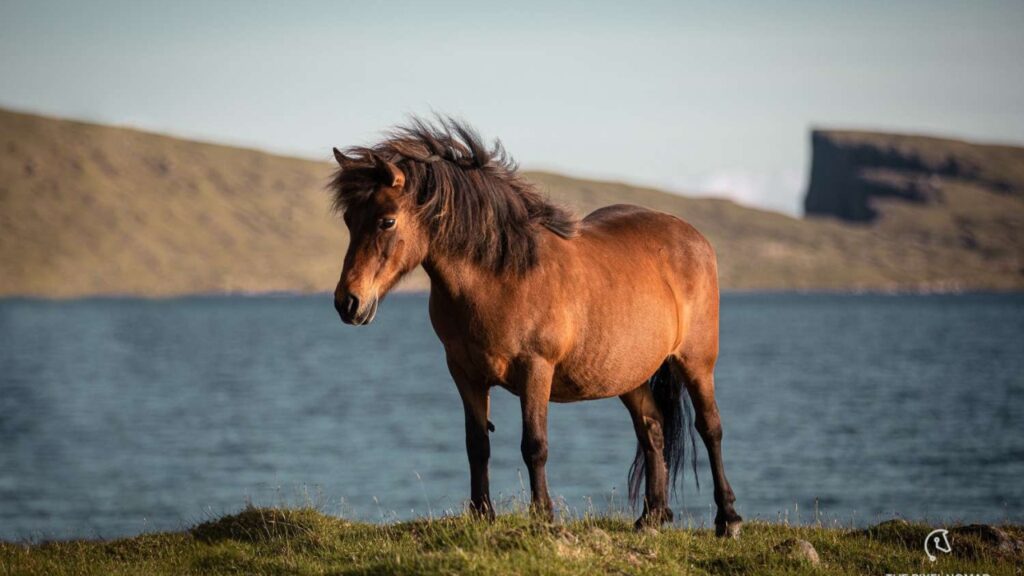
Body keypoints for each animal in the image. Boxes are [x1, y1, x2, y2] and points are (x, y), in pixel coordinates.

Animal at [328, 118, 742, 536]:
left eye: (387, 220)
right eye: (349, 220)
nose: (348, 302)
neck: (500, 275)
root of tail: (693, 237)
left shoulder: (535, 369)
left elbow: (534, 445)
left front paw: (542, 515)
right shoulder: (464, 373)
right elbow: (476, 444)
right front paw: (482, 514)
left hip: (695, 361)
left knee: (711, 428)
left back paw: (728, 519)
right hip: (630, 373)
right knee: (652, 429)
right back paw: (652, 516)